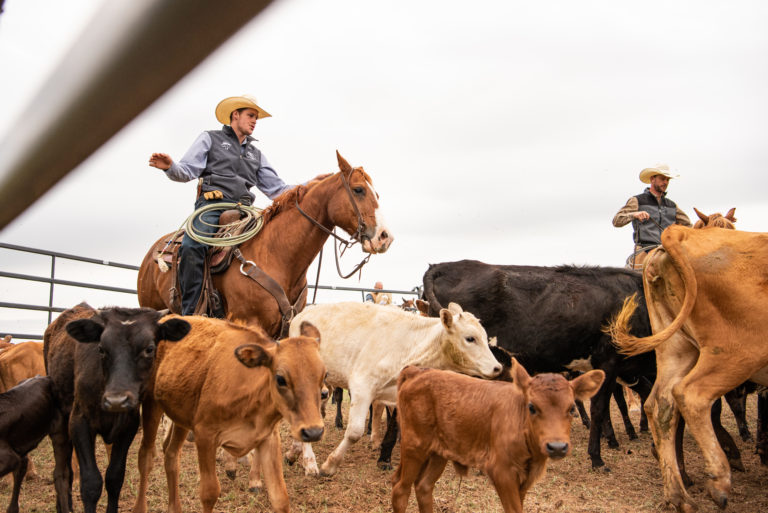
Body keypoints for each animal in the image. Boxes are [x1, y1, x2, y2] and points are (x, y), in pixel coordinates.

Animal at [132, 316, 324, 512]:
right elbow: (209, 492)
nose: (313, 432)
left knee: (171, 454)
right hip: (151, 403)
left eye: (324, 375)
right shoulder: (205, 435)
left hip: (181, 418)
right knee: (146, 456)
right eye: (280, 379)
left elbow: (280, 497)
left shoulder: (268, 438)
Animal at [135, 152, 392, 336]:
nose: (385, 237)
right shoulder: (248, 324)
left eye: (377, 194)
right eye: (358, 190)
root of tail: (153, 253)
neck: (277, 255)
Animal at [284, 300, 500, 476]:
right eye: (470, 338)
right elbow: (354, 432)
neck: (409, 346)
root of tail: (299, 316)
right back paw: (309, 462)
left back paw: (294, 452)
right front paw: (330, 465)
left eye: (485, 337)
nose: (497, 367)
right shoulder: (362, 386)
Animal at [392, 362, 604, 510]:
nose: (557, 447)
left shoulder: (524, 481)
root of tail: (418, 371)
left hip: (438, 453)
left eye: (572, 408)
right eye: (532, 407)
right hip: (414, 448)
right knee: (400, 490)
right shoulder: (502, 472)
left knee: (424, 487)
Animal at [608, 225, 768, 512]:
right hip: (737, 352)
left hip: (677, 350)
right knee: (691, 395)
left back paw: (679, 495)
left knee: (661, 405)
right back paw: (719, 480)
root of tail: (679, 233)